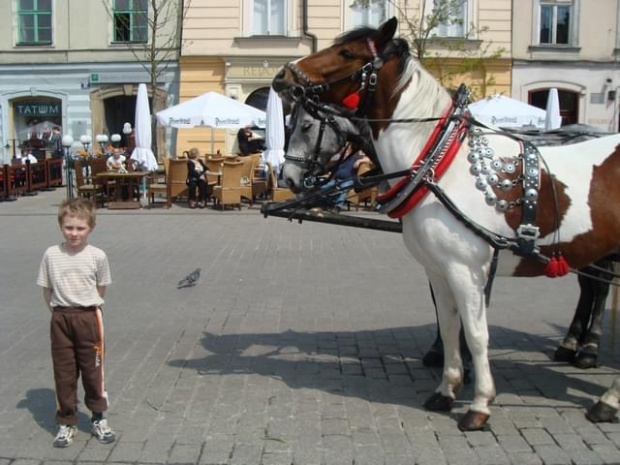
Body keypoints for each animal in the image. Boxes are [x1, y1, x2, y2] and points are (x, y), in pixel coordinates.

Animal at [274, 19, 620, 432]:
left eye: (346, 53)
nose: (282, 76)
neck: (439, 162)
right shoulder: (439, 269)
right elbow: (450, 325)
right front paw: (446, 388)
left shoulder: (468, 269)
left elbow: (476, 333)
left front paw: (479, 403)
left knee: (597, 290)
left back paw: (594, 370)